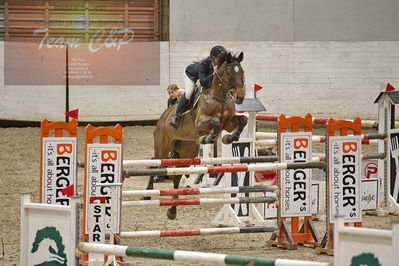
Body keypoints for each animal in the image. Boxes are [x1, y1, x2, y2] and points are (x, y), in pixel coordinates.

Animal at [148, 51, 247, 218]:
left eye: (242, 71)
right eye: (228, 72)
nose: (240, 97)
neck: (219, 96)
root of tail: (163, 117)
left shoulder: (228, 123)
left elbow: (243, 120)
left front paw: (229, 138)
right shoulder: (201, 122)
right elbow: (215, 122)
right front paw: (207, 137)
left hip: (186, 152)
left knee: (176, 176)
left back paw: (172, 210)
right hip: (163, 148)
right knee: (154, 162)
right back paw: (147, 192)